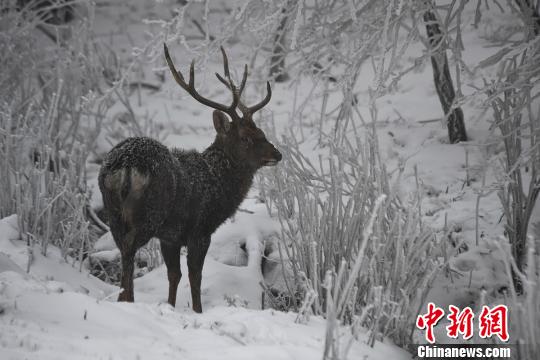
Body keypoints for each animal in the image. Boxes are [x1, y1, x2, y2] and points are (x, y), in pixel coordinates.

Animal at [98, 44, 282, 312]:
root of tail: (126, 164)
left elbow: (174, 275)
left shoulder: (170, 236)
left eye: (261, 131)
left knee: (123, 248)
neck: (217, 184)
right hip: (149, 213)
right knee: (129, 248)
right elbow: (196, 276)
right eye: (246, 138)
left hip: (113, 212)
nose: (277, 154)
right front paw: (197, 310)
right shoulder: (200, 229)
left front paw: (170, 306)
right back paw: (127, 300)